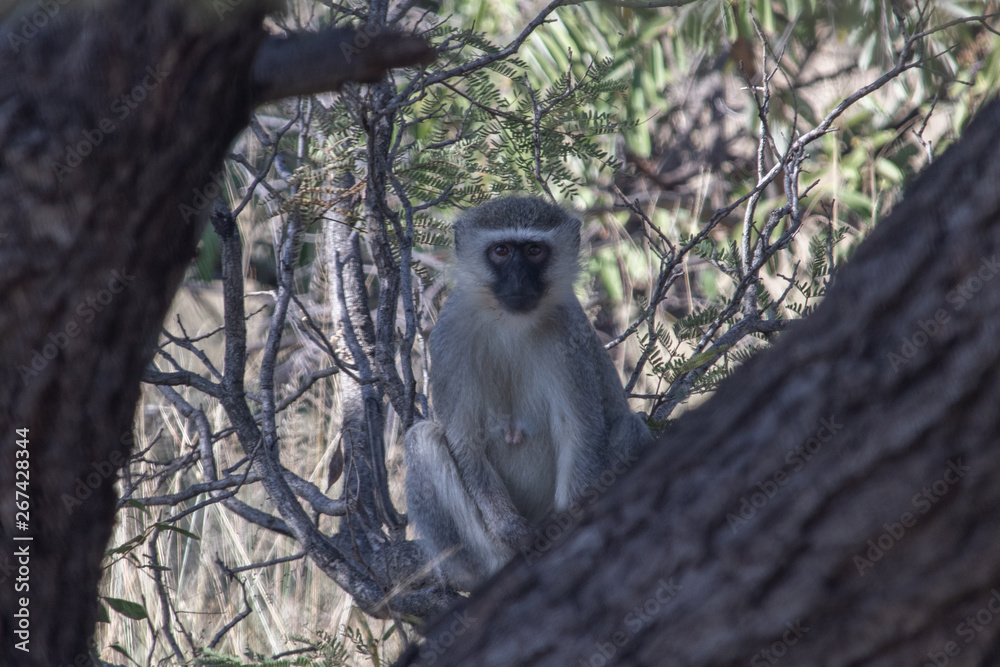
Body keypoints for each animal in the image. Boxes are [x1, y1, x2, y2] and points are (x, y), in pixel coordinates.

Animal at [404, 196, 651, 590]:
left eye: (534, 251)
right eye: (501, 251)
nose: (519, 279)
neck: (510, 322)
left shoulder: (570, 335)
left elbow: (579, 430)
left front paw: (569, 528)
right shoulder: (447, 338)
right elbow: (464, 441)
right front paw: (513, 531)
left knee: (629, 426)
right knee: (423, 438)